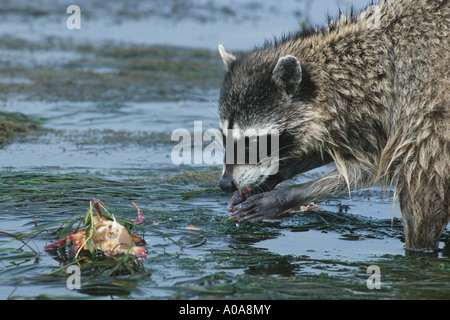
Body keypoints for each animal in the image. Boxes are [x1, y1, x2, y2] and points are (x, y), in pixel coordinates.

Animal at [216, 0, 448, 254]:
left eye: (252, 142)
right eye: (224, 137)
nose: (225, 183)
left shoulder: (413, 104)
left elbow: (381, 168)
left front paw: (285, 196)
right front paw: (273, 175)